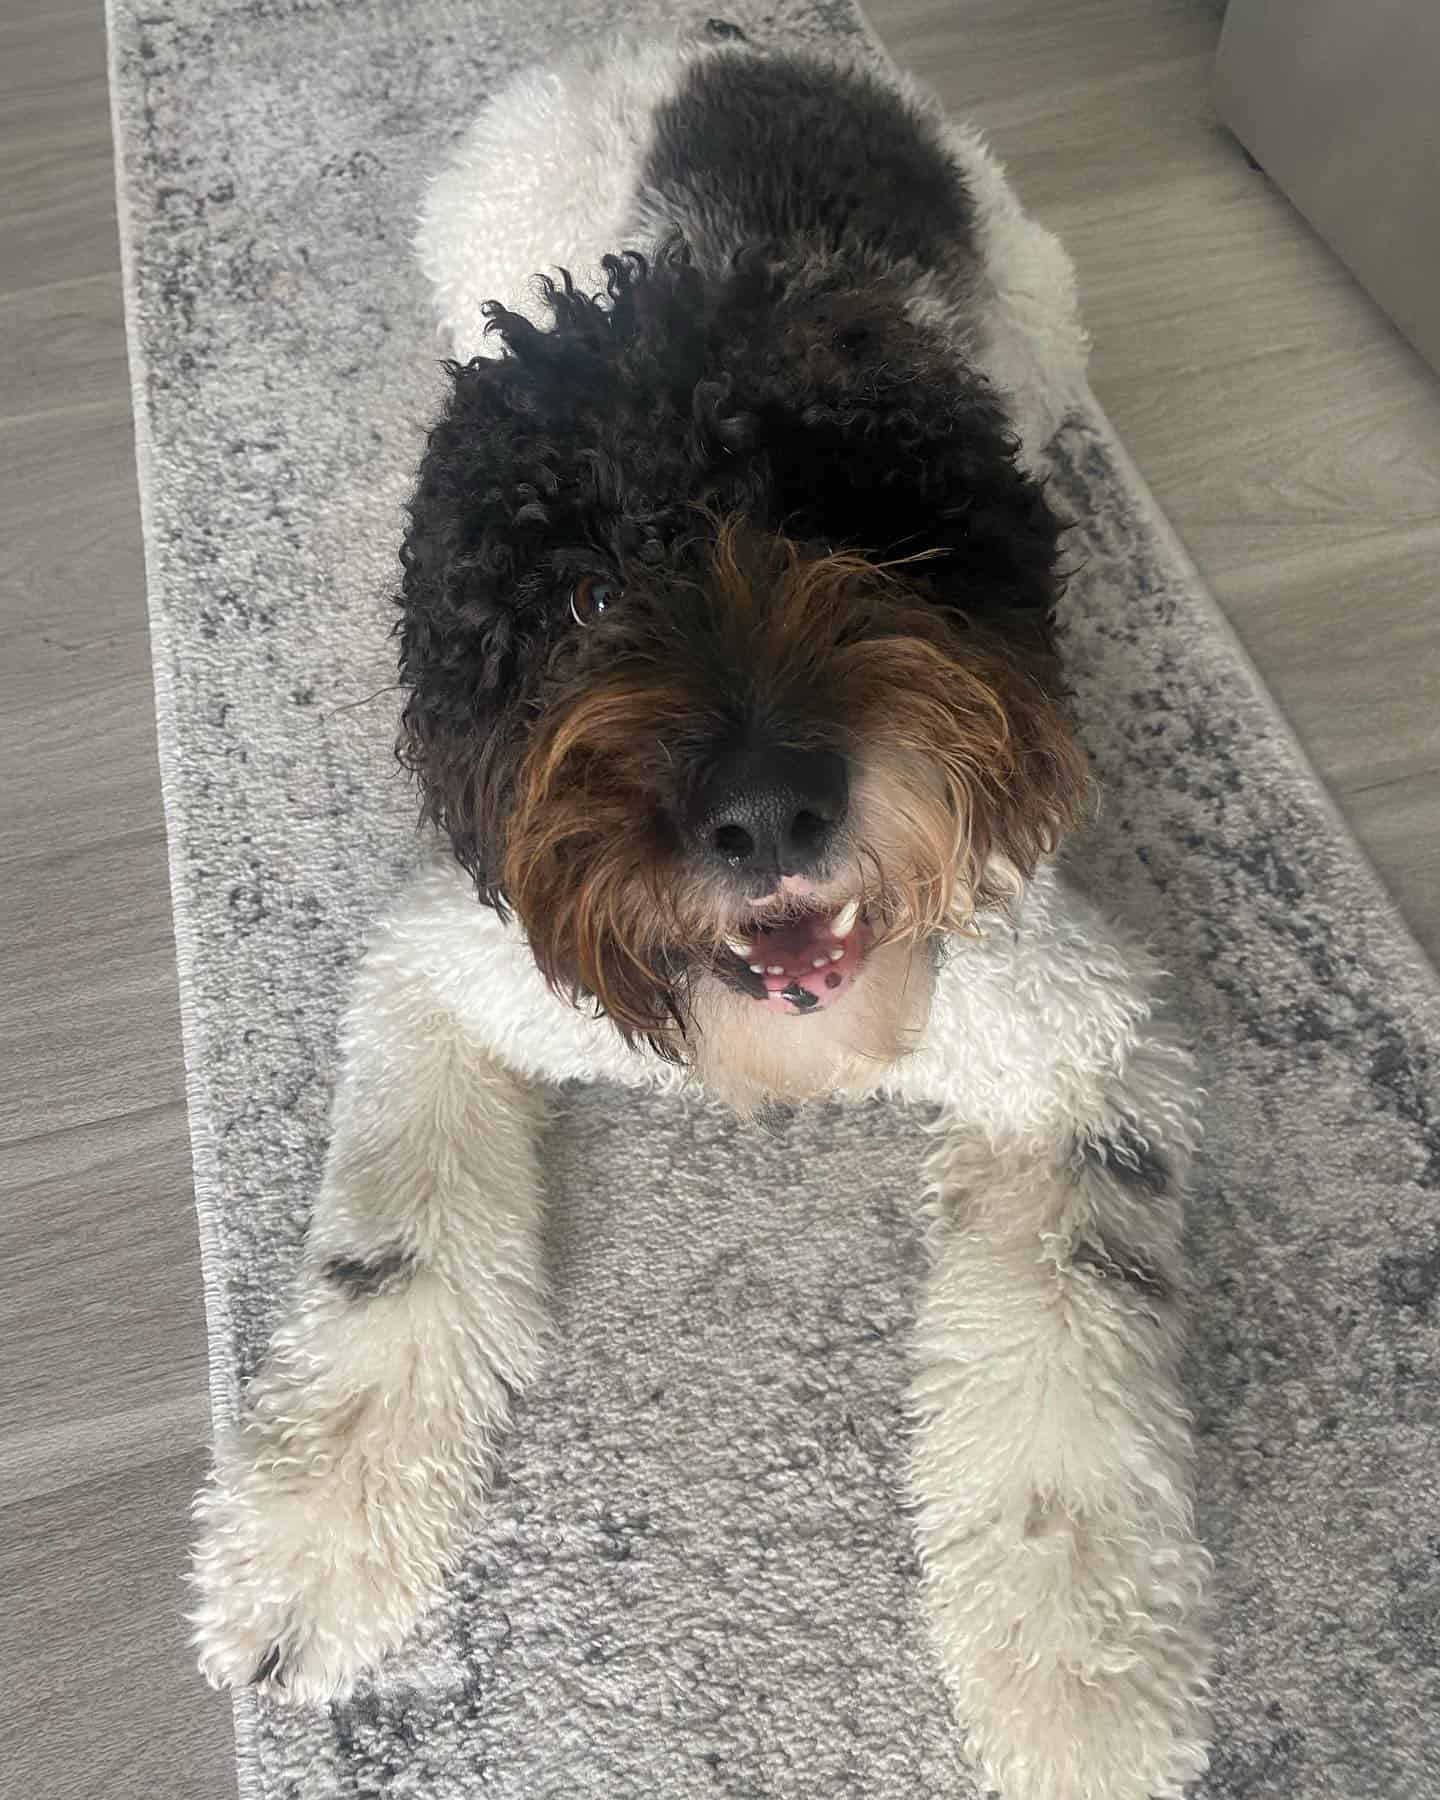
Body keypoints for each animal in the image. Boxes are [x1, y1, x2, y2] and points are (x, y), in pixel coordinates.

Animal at [190, 31, 1216, 1800]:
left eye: (858, 538)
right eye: (589, 595)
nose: (767, 810)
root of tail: (727, 34)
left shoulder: (1078, 1041)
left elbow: (1068, 1358)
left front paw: (1080, 1676)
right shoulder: (449, 975)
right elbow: (395, 1251)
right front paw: (312, 1542)